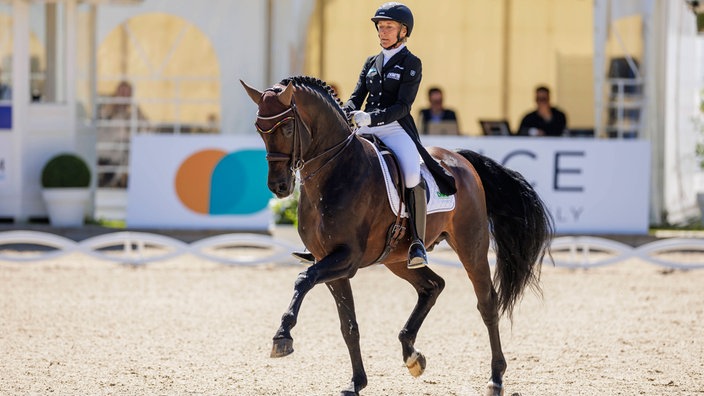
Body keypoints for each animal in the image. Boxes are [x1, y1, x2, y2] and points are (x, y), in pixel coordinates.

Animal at [239, 75, 552, 396]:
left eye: (288, 127)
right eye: (259, 128)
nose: (279, 187)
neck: (335, 170)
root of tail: (460, 159)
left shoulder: (346, 259)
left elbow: (303, 279)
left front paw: (282, 336)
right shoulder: (330, 263)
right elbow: (348, 326)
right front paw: (356, 382)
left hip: (471, 245)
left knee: (487, 302)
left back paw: (495, 378)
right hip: (398, 259)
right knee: (432, 286)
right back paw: (412, 354)